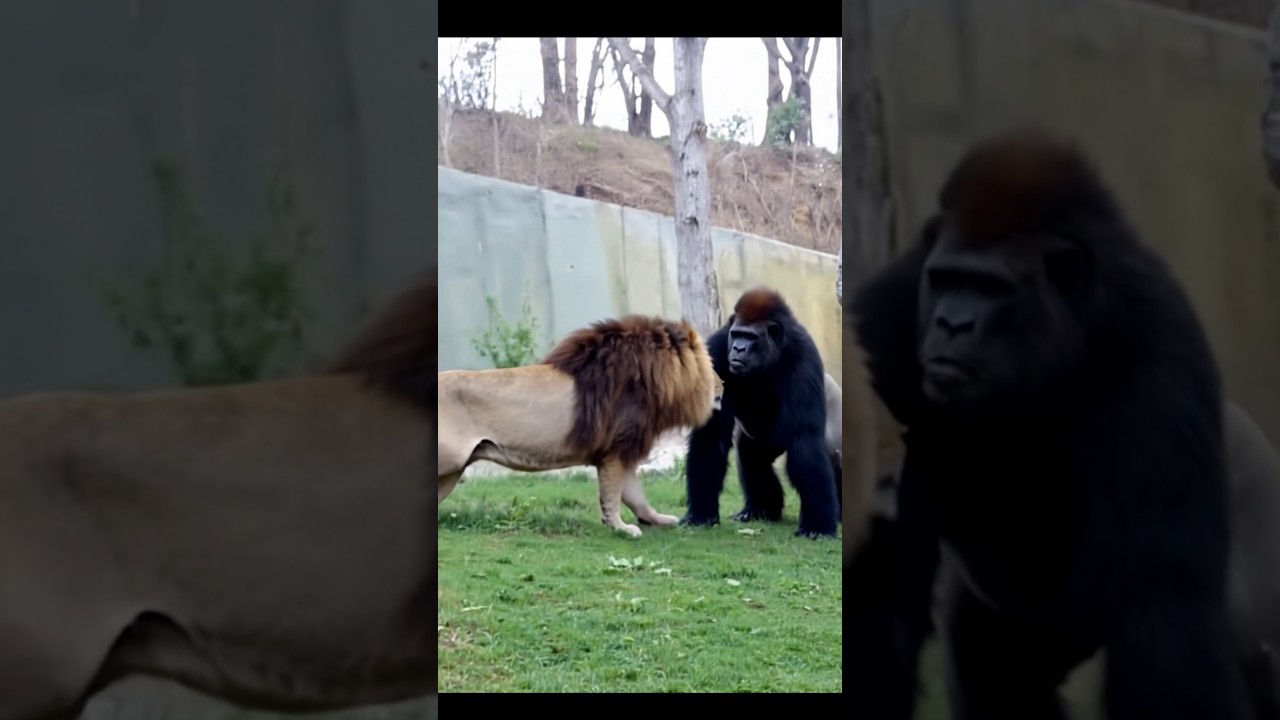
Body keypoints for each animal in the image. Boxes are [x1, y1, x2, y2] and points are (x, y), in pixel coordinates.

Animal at [438, 315, 722, 537]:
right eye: (710, 367)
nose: (724, 386)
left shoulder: (623, 450)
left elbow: (635, 496)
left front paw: (657, 519)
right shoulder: (615, 450)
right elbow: (612, 494)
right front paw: (620, 527)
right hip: (452, 460)